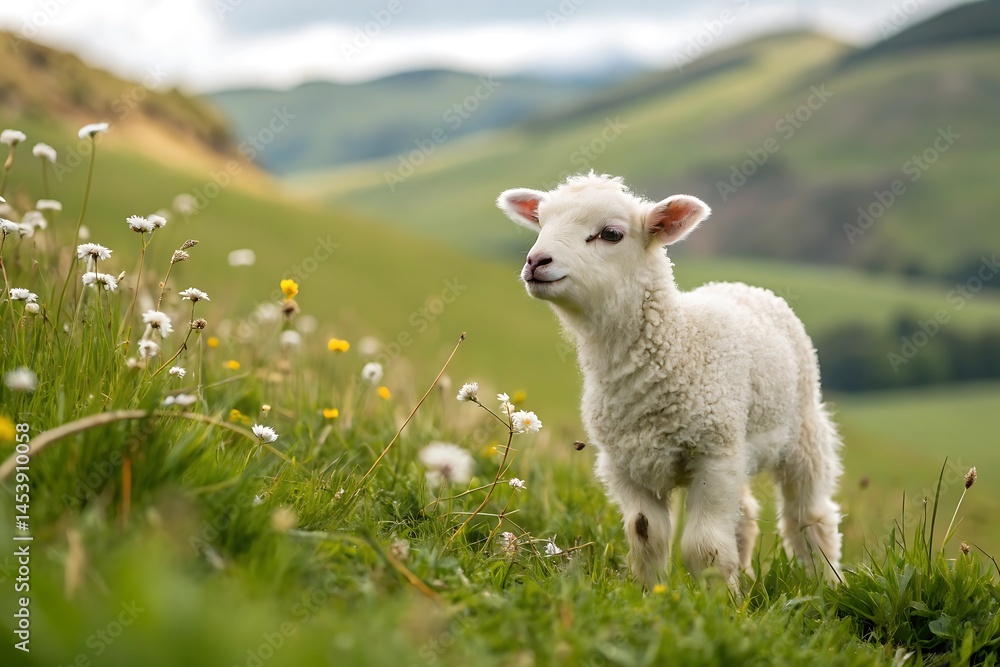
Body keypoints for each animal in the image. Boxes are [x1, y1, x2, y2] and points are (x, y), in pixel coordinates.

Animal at [496, 172, 843, 590]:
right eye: (542, 223)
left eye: (611, 234)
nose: (536, 261)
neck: (674, 345)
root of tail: (742, 285)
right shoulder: (624, 464)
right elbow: (645, 534)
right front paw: (651, 593)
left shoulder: (712, 455)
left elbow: (705, 546)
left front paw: (719, 603)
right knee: (744, 514)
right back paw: (745, 575)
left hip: (802, 432)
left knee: (809, 517)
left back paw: (826, 582)